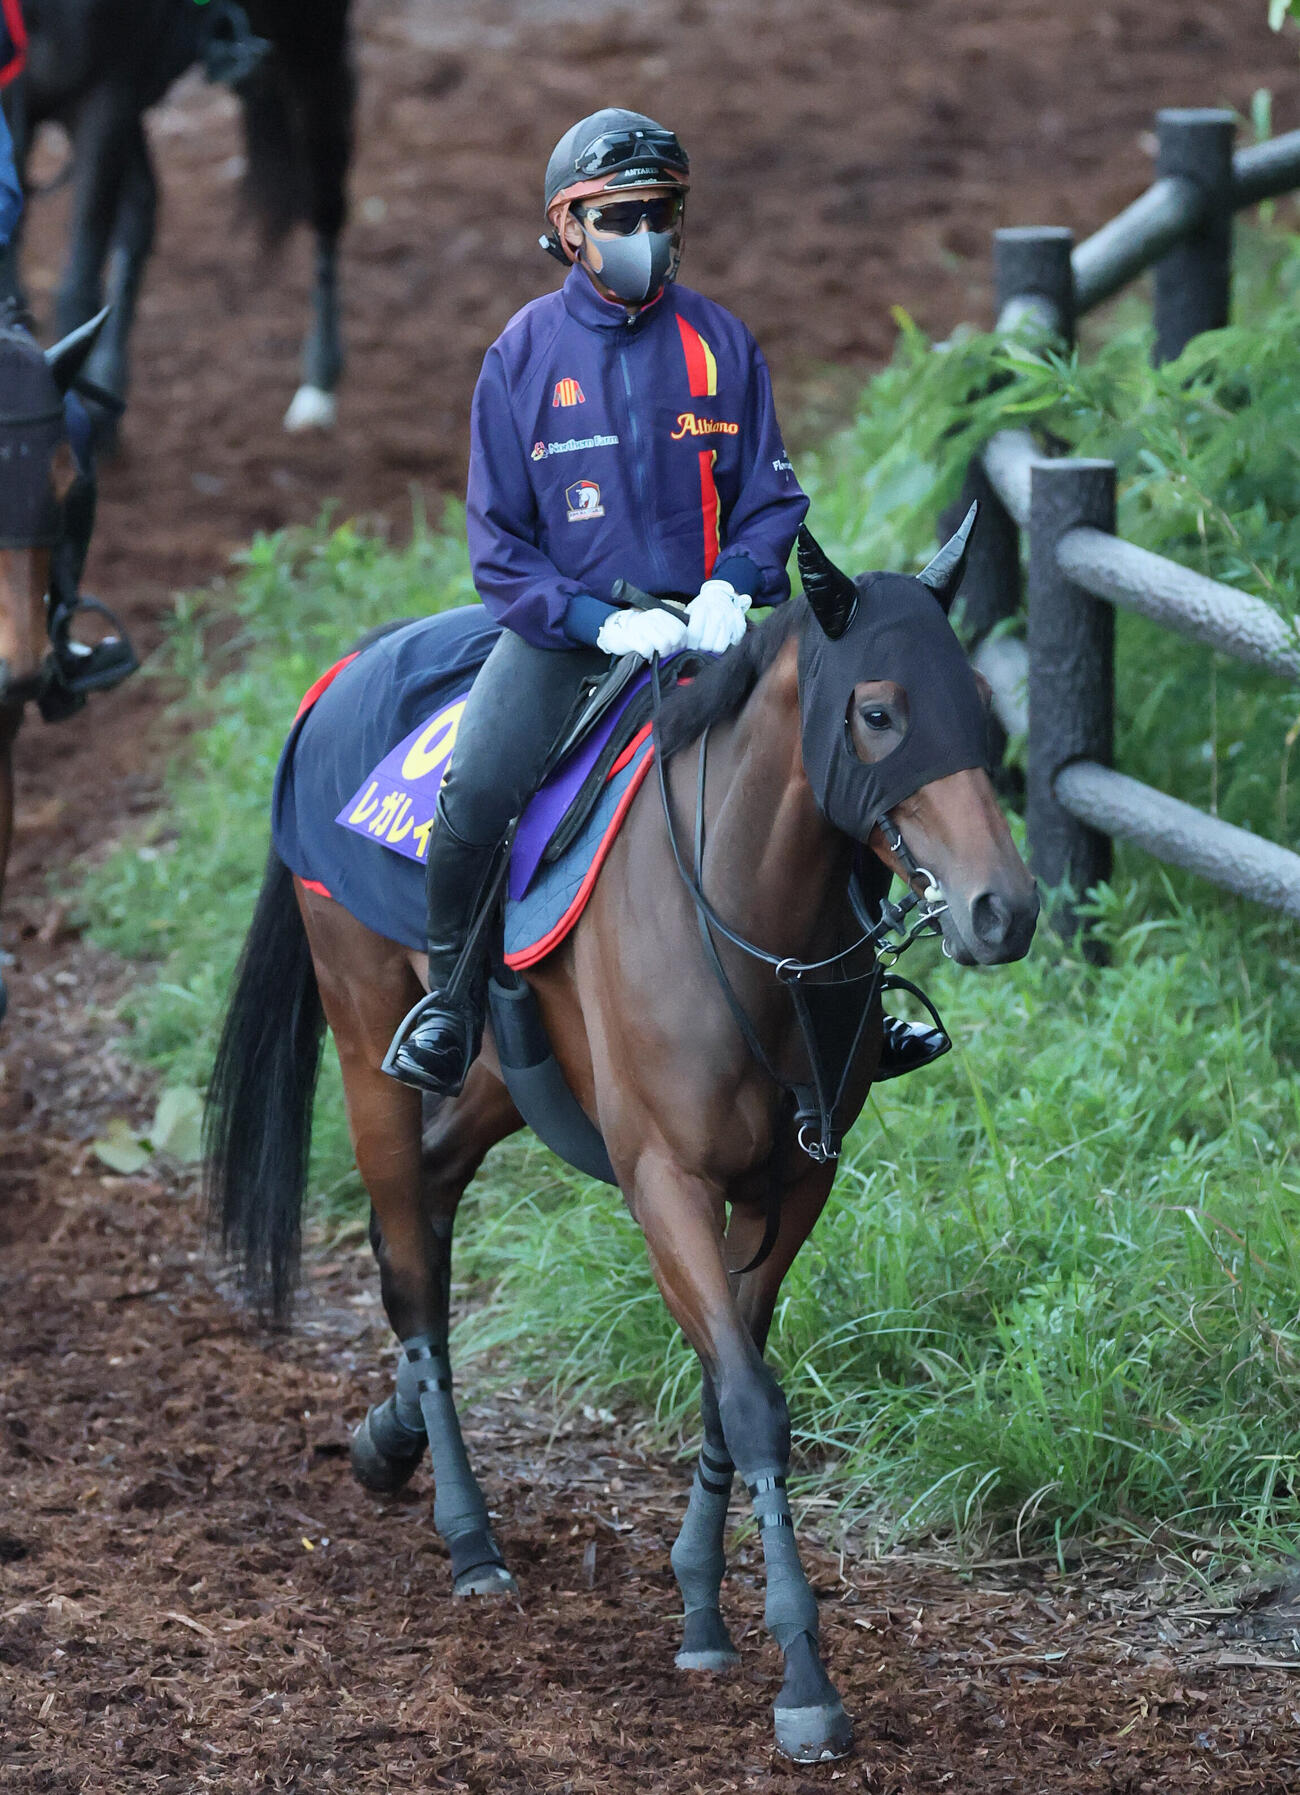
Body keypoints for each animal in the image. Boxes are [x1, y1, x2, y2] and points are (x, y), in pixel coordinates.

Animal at [0, 0, 353, 437]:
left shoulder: (105, 98)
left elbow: (76, 288)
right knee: (141, 210)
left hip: (315, 50)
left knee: (326, 202)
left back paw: (318, 388)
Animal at [205, 513, 1040, 1763]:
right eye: (880, 711)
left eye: (983, 714)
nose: (1004, 909)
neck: (745, 919)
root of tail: (338, 674)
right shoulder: (666, 1181)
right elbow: (748, 1396)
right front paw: (803, 1676)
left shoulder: (790, 1186)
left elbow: (726, 1381)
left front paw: (699, 1606)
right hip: (362, 1029)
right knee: (407, 1255)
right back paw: (468, 1535)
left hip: (511, 1074)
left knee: (430, 1200)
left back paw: (388, 1438)